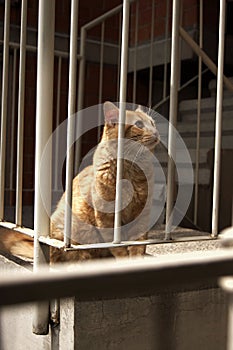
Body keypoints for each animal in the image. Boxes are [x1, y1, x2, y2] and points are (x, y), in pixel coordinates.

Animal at [0, 102, 159, 262]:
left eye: (152, 123)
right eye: (139, 124)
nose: (156, 132)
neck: (131, 171)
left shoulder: (141, 216)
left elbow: (138, 245)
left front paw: (136, 260)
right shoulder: (106, 217)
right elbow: (117, 247)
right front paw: (124, 261)